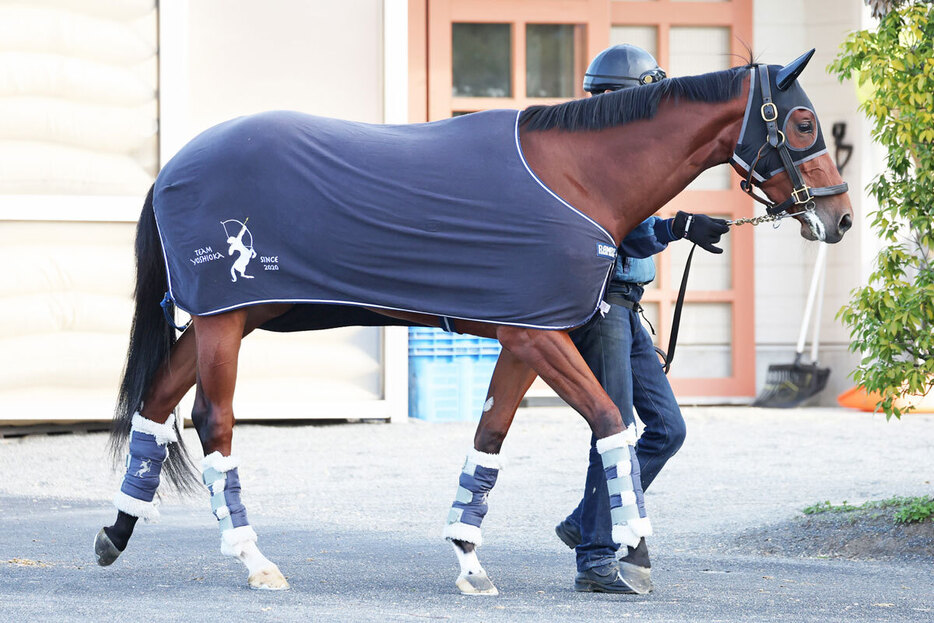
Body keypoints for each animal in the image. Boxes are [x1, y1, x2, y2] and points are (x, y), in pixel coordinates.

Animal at [95, 51, 856, 592]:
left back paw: (117, 530)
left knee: (156, 404)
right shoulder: (540, 337)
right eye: (801, 123)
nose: (841, 217)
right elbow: (613, 423)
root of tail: (172, 168)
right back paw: (254, 559)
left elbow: (489, 441)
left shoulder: (527, 337)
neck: (574, 176)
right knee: (212, 421)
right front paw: (633, 549)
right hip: (226, 323)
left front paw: (467, 557)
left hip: (226, 318)